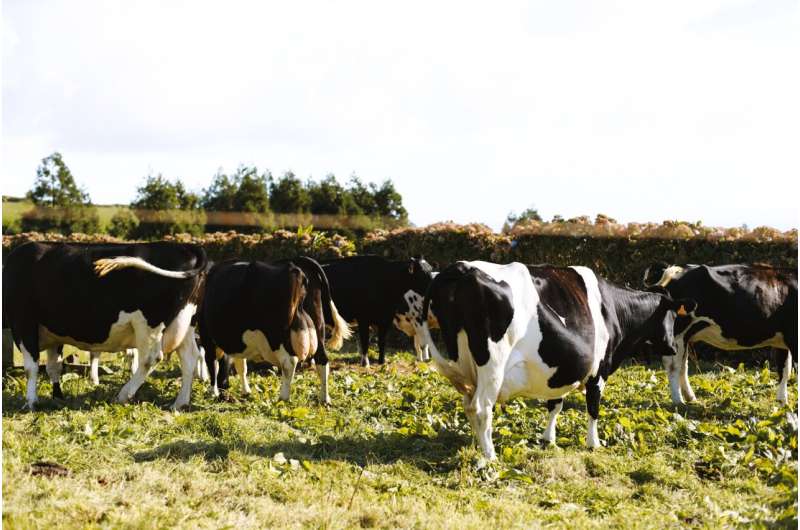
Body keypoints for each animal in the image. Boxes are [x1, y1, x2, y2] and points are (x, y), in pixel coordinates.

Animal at [1, 239, 208, 408]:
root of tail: (185, 247)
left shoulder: (23, 323)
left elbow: (32, 367)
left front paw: (31, 402)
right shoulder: (54, 333)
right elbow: (54, 367)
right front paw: (57, 396)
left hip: (150, 323)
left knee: (150, 358)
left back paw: (123, 395)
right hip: (185, 322)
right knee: (190, 357)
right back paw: (179, 403)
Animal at [198, 255, 348, 400]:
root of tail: (295, 262)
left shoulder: (207, 337)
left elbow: (213, 363)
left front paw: (213, 392)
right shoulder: (236, 342)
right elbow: (240, 365)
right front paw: (245, 391)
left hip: (276, 334)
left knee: (289, 362)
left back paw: (283, 397)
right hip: (317, 325)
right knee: (322, 359)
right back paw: (325, 398)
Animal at [410, 260, 692, 458]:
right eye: (673, 316)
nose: (672, 347)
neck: (613, 309)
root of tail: (461, 268)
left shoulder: (561, 369)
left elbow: (555, 403)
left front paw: (548, 439)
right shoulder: (598, 372)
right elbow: (593, 407)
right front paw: (594, 443)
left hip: (466, 364)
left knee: (470, 405)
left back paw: (478, 445)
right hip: (492, 364)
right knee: (480, 407)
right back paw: (490, 456)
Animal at [648, 260, 796, 404]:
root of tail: (678, 269)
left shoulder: (782, 341)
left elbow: (784, 370)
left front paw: (783, 402)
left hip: (685, 336)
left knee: (683, 365)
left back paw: (690, 397)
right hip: (678, 332)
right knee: (673, 365)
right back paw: (678, 401)